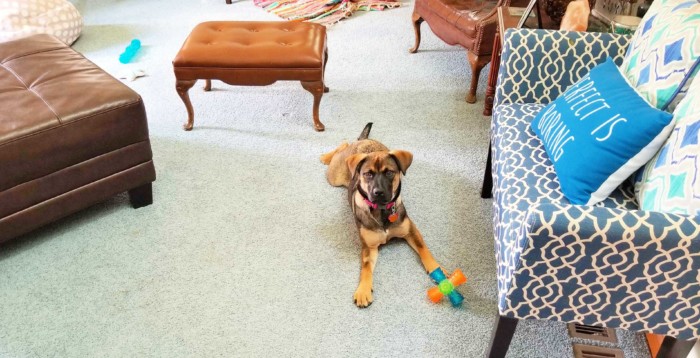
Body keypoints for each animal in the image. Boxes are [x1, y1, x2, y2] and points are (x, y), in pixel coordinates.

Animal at [320, 123, 440, 308]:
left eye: (389, 172)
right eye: (368, 174)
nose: (378, 193)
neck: (382, 210)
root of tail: (363, 143)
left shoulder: (411, 230)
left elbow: (424, 248)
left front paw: (438, 270)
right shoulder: (369, 247)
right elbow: (366, 268)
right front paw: (363, 290)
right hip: (334, 176)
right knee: (343, 145)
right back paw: (327, 155)